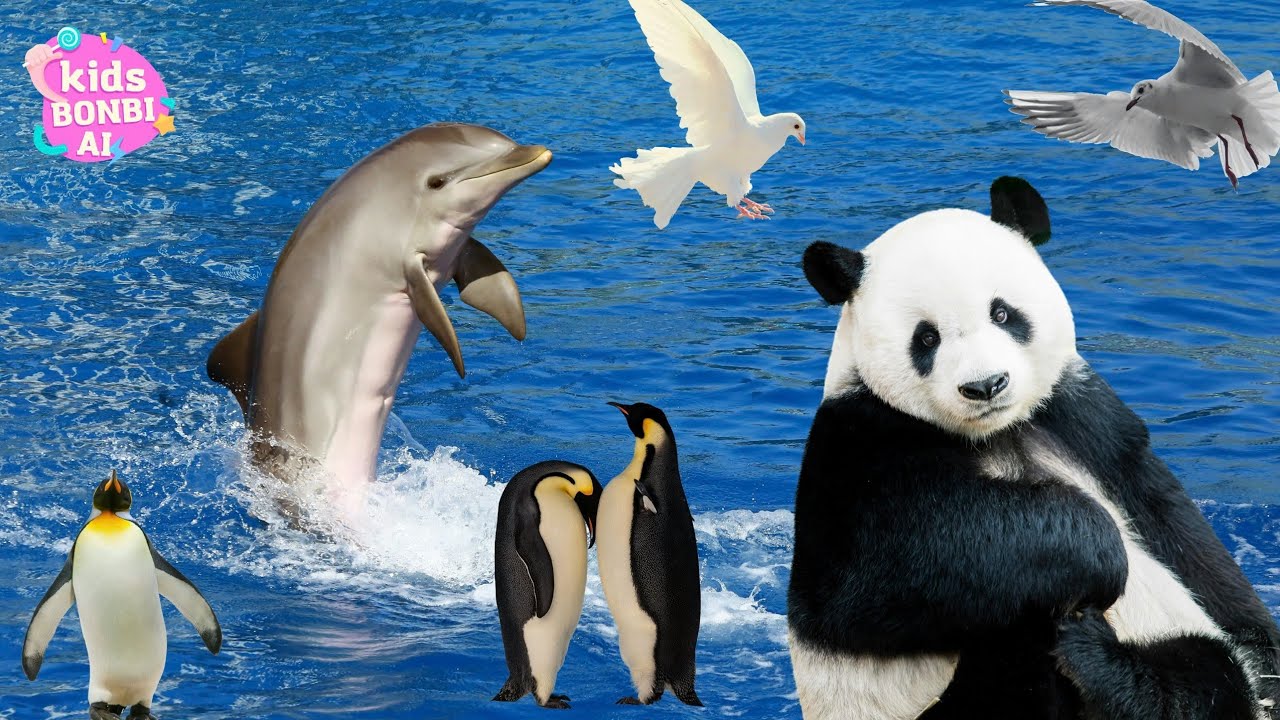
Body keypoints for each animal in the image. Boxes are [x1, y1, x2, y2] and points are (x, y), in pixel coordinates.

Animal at [786, 177, 1280, 720]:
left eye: (1002, 313)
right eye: (927, 338)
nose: (986, 386)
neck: (996, 432)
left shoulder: (1076, 413)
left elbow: (1169, 518)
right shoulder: (860, 441)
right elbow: (864, 582)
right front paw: (1097, 547)